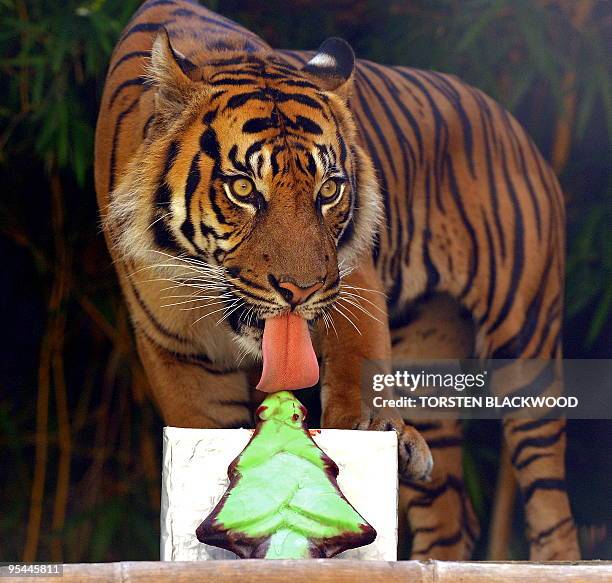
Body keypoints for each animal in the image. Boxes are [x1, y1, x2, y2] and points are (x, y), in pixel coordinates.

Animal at [94, 0, 580, 560]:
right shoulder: (178, 356)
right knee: (451, 513)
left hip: (527, 345)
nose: (300, 291)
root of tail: (515, 124)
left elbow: (354, 371)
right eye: (243, 189)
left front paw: (369, 431)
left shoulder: (352, 278)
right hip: (429, 358)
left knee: (549, 497)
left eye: (328, 190)